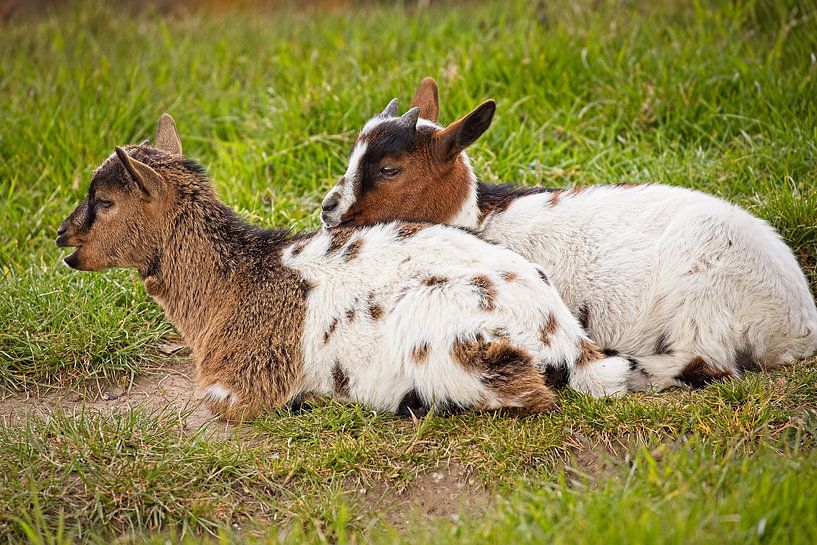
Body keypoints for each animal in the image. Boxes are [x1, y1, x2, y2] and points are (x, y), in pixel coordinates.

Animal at [56, 114, 632, 420]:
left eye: (104, 201)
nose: (62, 237)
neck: (236, 283)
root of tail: (564, 338)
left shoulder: (243, 383)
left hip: (453, 348)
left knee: (527, 394)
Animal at [320, 77, 817, 391]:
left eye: (389, 169)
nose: (329, 209)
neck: (481, 217)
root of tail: (797, 326)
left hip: (703, 290)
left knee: (706, 362)